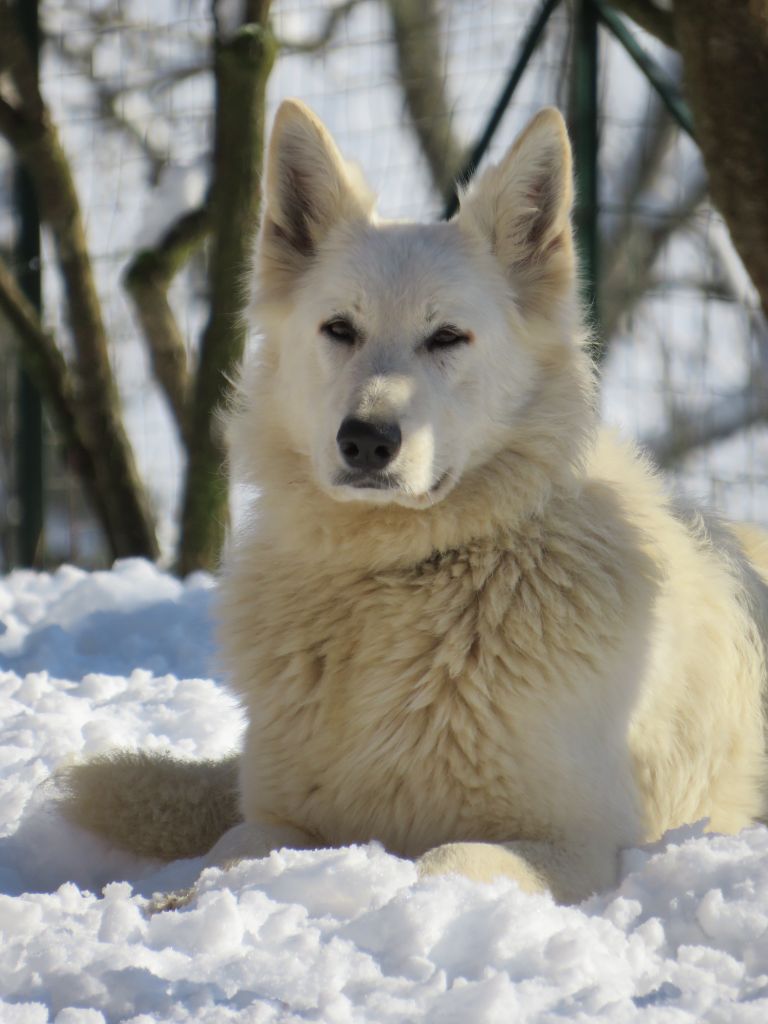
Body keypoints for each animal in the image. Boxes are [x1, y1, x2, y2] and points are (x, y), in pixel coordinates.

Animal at [63, 101, 768, 905]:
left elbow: (447, 860)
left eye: (447, 336)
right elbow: (235, 848)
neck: (401, 578)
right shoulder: (283, 816)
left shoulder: (578, 847)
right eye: (340, 329)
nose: (366, 440)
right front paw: (185, 900)